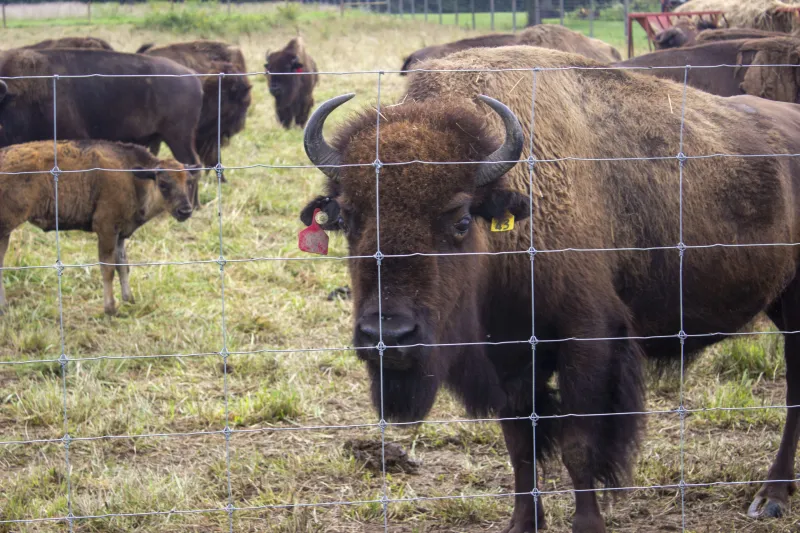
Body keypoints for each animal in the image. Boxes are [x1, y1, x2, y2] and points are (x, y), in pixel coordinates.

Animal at [0, 140, 195, 316]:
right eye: (163, 183)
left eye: (189, 182)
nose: (185, 210)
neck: (131, 177)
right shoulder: (106, 230)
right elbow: (108, 269)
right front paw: (110, 309)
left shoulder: (120, 234)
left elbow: (123, 266)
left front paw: (129, 300)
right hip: (5, 229)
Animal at [300, 45, 800, 531]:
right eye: (348, 219)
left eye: (460, 220)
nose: (388, 337)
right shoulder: (511, 358)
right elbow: (521, 445)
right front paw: (523, 523)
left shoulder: (588, 339)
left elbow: (579, 445)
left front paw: (588, 524)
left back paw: (771, 497)